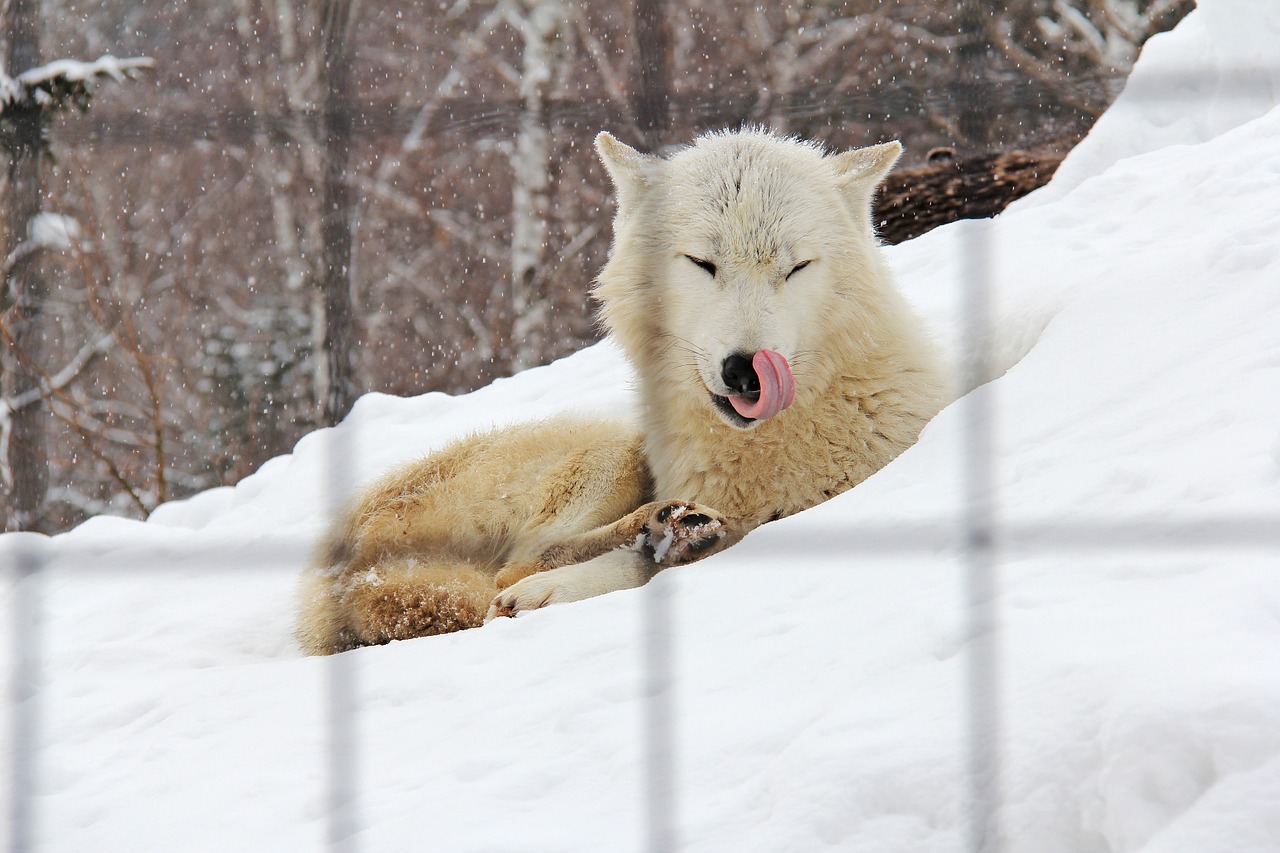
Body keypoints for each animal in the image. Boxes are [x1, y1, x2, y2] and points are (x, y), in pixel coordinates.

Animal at [294, 129, 947, 653]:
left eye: (796, 268)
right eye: (702, 263)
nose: (747, 371)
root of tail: (330, 584)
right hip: (609, 448)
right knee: (512, 573)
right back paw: (656, 528)